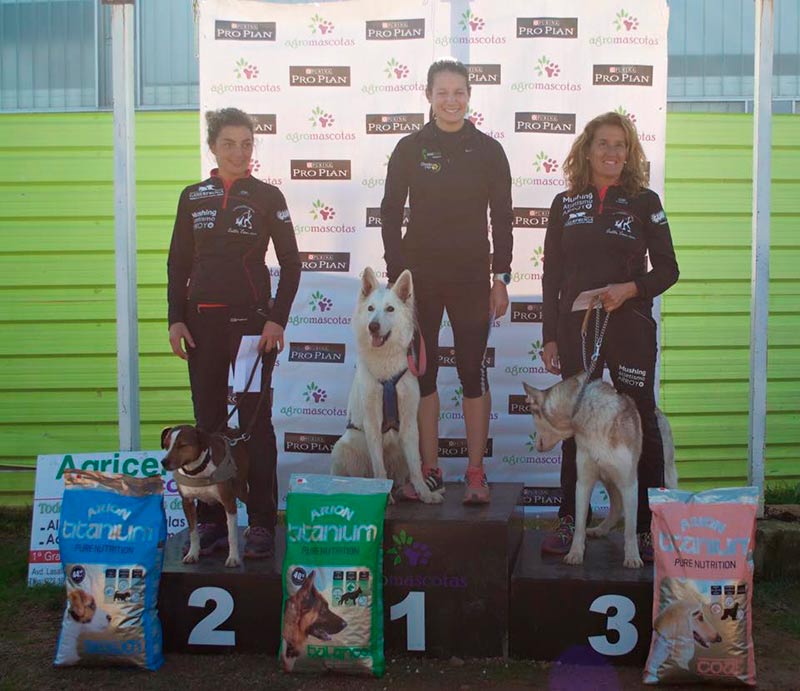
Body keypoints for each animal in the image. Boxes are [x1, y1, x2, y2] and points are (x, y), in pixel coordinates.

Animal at [161, 425, 249, 568]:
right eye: (166, 445)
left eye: (182, 445)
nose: (164, 462)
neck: (197, 470)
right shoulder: (187, 502)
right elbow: (193, 532)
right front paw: (192, 554)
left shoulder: (229, 500)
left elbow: (232, 535)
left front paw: (233, 558)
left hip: (240, 489)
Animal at [330, 267, 442, 504]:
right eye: (371, 308)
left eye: (390, 309)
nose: (373, 326)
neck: (386, 366)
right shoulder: (372, 422)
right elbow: (378, 467)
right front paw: (383, 493)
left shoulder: (409, 422)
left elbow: (416, 468)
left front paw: (425, 493)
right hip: (343, 447)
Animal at [524, 372, 677, 569]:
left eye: (532, 415)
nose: (536, 446)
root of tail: (659, 411)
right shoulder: (583, 483)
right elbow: (579, 525)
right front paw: (575, 554)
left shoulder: (630, 484)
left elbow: (630, 528)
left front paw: (633, 557)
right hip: (608, 480)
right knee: (616, 506)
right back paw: (600, 529)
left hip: (664, 477)